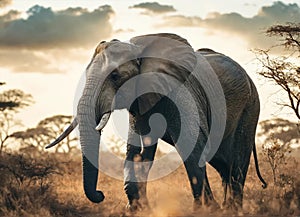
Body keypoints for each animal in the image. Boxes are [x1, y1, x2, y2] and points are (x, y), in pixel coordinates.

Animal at [45, 32, 266, 210]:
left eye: (115, 76)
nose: (100, 194)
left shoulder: (181, 92)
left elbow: (192, 146)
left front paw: (203, 211)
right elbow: (138, 152)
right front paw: (137, 209)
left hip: (250, 106)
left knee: (236, 163)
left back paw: (231, 209)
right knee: (223, 165)